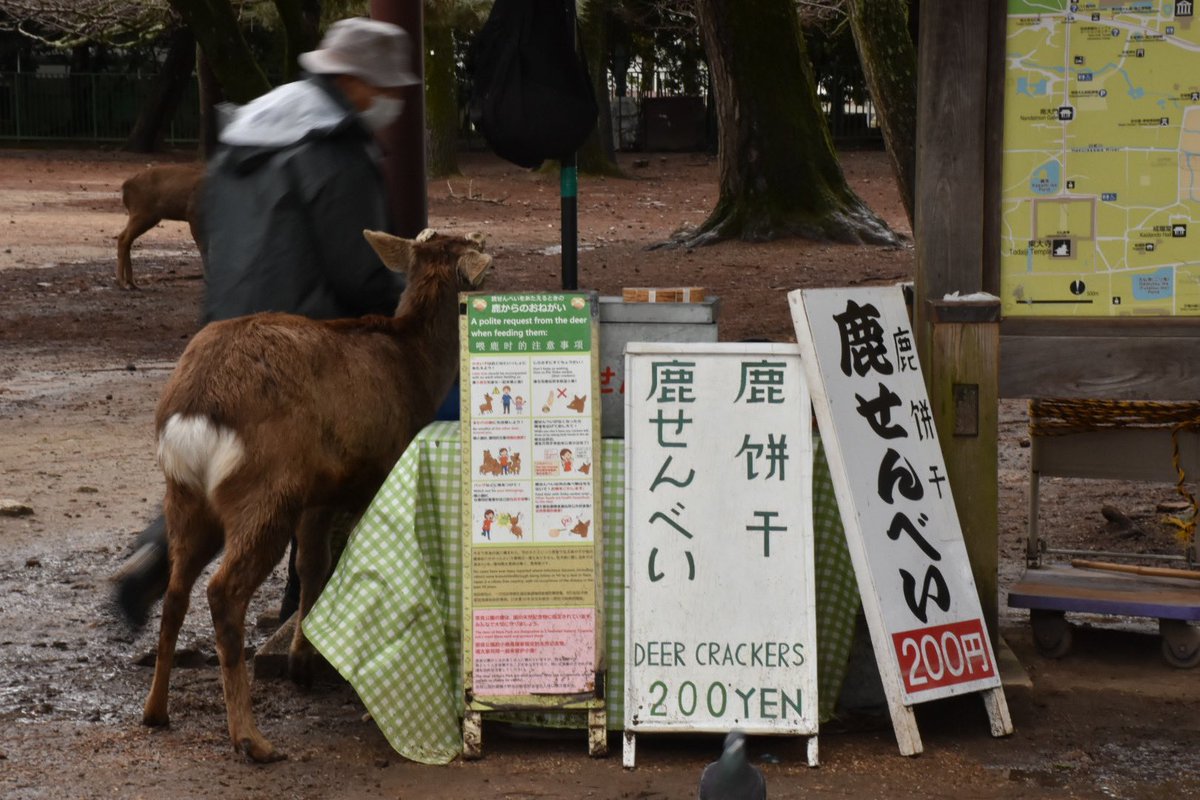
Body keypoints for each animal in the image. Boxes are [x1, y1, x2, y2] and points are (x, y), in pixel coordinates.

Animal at [141, 228, 491, 763]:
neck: (415, 367)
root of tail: (193, 411)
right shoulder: (375, 471)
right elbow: (354, 564)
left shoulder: (319, 490)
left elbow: (313, 566)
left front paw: (302, 663)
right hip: (266, 490)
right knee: (221, 591)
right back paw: (251, 739)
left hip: (186, 497)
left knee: (177, 589)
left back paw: (155, 712)